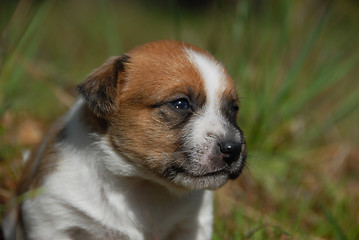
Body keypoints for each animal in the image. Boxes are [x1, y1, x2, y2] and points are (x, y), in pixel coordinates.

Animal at [4, 39, 248, 240]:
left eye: (233, 109)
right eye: (180, 104)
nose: (233, 149)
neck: (144, 183)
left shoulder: (192, 225)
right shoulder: (52, 216)